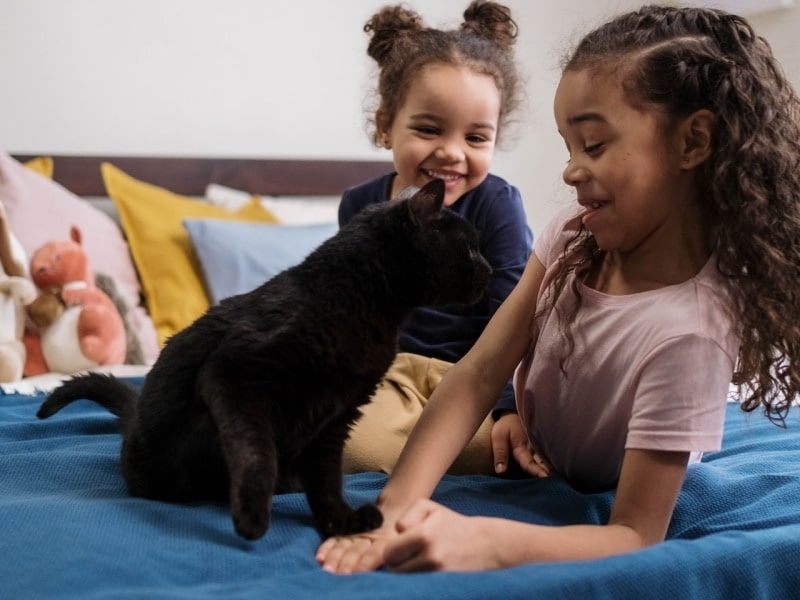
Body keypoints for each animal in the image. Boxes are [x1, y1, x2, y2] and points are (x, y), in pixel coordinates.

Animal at [37, 180, 490, 540]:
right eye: (469, 248)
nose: (489, 269)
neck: (355, 299)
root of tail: (133, 419)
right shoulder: (237, 375)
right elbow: (257, 452)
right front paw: (252, 515)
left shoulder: (336, 415)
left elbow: (327, 477)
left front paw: (339, 522)